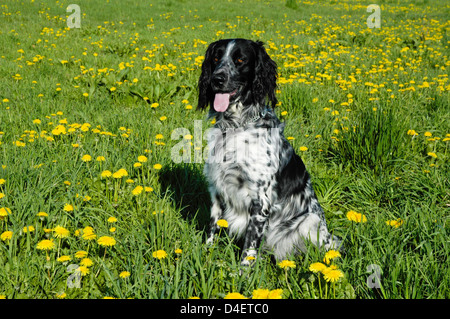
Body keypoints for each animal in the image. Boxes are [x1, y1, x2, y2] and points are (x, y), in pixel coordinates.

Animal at [197, 38, 342, 266]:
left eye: (240, 60)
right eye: (216, 57)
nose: (217, 79)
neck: (236, 126)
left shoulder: (261, 200)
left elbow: (249, 249)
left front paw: (241, 273)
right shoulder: (217, 190)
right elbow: (212, 227)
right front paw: (205, 258)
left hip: (311, 221)